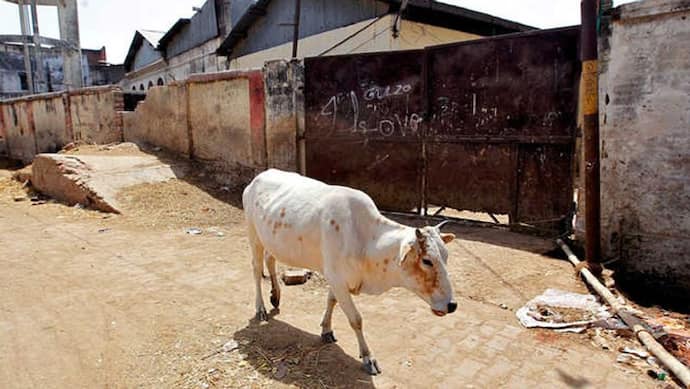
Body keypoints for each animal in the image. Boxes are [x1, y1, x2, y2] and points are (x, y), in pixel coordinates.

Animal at [242, 168, 456, 374]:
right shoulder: (336, 278)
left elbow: (331, 301)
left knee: (270, 260)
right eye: (427, 261)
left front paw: (326, 330)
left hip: (270, 240)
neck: (365, 241)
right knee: (256, 269)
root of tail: (257, 178)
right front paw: (368, 358)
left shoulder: (336, 279)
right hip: (254, 236)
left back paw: (275, 296)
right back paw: (261, 308)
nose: (452, 305)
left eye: (446, 256)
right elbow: (356, 319)